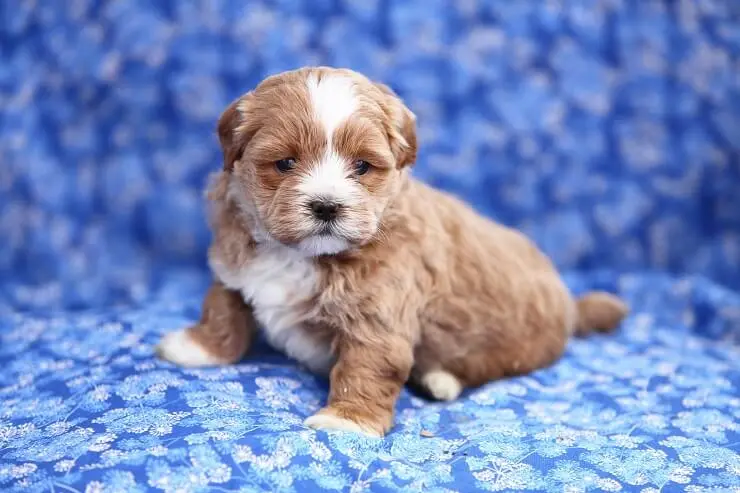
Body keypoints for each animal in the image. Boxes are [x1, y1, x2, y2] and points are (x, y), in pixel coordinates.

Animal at [158, 67, 632, 436]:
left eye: (362, 166)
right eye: (285, 163)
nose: (326, 205)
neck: (302, 253)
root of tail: (569, 306)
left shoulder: (379, 315)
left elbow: (367, 367)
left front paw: (346, 421)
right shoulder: (234, 266)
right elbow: (222, 308)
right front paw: (197, 347)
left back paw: (440, 379)